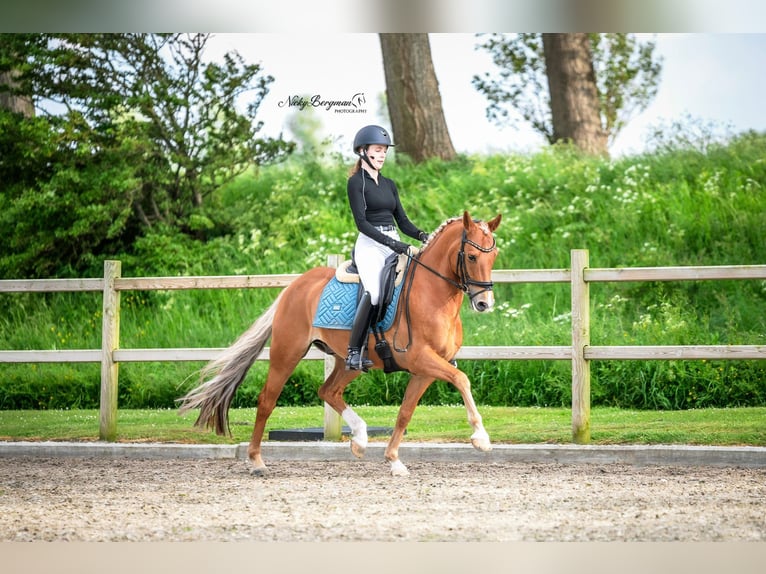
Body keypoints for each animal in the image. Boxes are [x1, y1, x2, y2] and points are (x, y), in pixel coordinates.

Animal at [179, 212, 504, 476]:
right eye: (472, 257)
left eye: (494, 256)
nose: (484, 304)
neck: (432, 293)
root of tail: (296, 286)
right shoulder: (421, 359)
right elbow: (462, 380)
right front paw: (481, 438)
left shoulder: (425, 370)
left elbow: (405, 413)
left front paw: (394, 460)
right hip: (288, 353)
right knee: (267, 400)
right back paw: (256, 461)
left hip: (350, 362)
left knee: (329, 391)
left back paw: (359, 439)